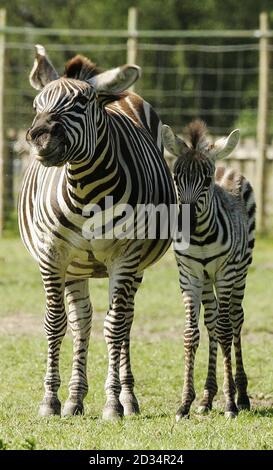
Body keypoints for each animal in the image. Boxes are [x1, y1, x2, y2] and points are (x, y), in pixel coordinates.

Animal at [19, 45, 176, 418]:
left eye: (81, 102)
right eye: (36, 105)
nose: (39, 137)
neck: (86, 190)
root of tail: (120, 93)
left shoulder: (126, 256)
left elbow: (115, 326)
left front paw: (113, 403)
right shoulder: (52, 254)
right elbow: (55, 323)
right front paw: (50, 400)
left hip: (135, 267)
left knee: (123, 321)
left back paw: (127, 398)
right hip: (76, 267)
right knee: (83, 322)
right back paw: (75, 398)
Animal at [162, 119, 255, 420]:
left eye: (205, 180)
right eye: (176, 177)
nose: (185, 224)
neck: (201, 237)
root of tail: (226, 165)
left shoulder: (225, 274)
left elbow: (225, 331)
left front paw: (230, 404)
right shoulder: (189, 276)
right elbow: (191, 334)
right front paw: (186, 403)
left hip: (240, 270)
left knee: (235, 319)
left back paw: (242, 395)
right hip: (206, 280)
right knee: (213, 320)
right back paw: (207, 397)